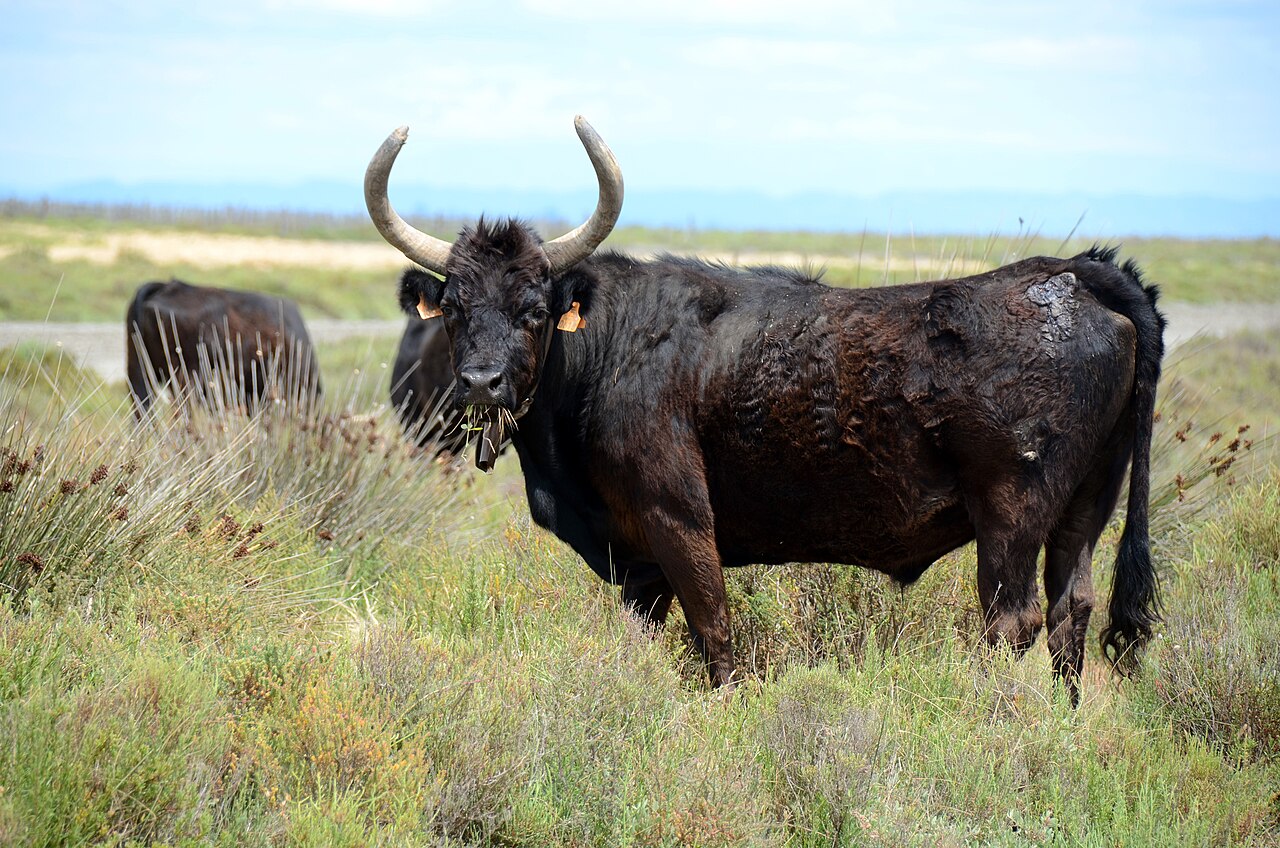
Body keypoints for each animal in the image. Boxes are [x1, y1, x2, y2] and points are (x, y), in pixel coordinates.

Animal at [364, 118, 1164, 701]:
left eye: (533, 310)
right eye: (454, 309)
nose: (481, 382)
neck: (609, 347)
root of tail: (1076, 273)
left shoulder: (679, 522)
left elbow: (715, 636)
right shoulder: (637, 565)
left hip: (1011, 518)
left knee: (1013, 622)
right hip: (1083, 512)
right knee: (1070, 614)